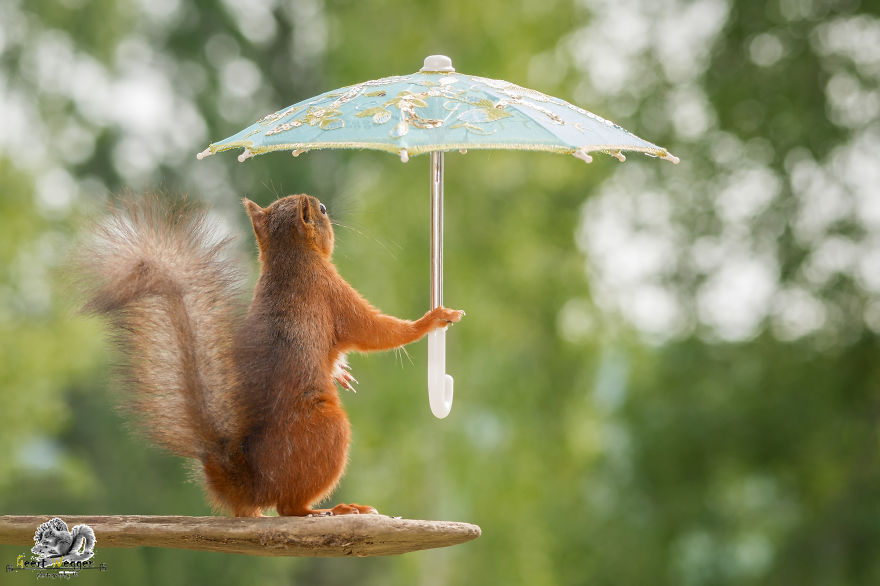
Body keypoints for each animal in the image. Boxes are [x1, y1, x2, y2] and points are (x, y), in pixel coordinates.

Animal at [77, 194, 464, 517]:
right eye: (322, 209)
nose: (328, 209)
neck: (288, 257)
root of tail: (251, 486)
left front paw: (340, 372)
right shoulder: (331, 291)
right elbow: (376, 330)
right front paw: (431, 320)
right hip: (327, 429)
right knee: (289, 508)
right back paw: (333, 509)